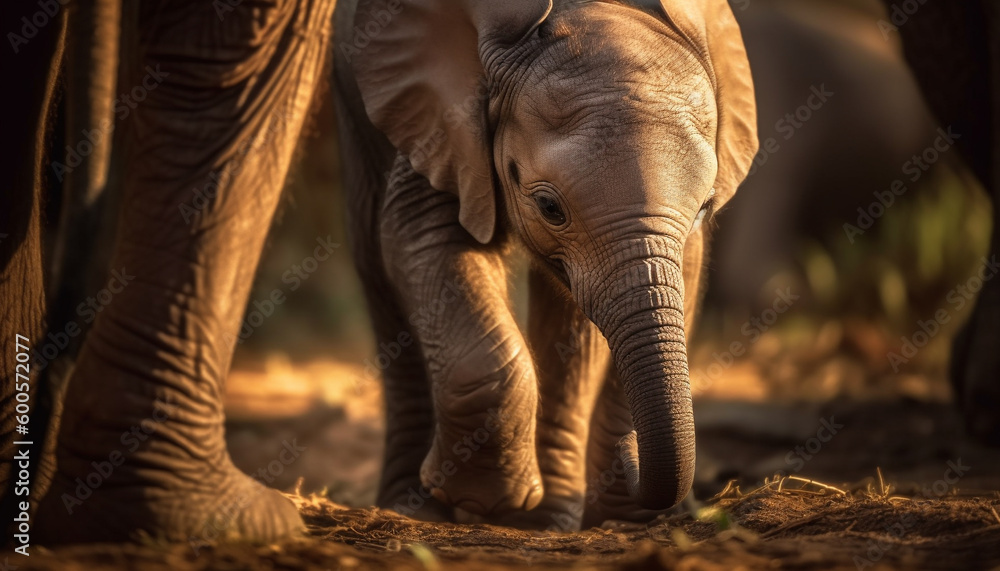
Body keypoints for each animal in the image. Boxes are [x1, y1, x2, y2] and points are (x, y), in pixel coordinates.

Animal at [334, 0, 756, 532]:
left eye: (704, 207)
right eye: (549, 207)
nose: (634, 456)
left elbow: (591, 318)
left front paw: (593, 519)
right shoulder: (445, 116)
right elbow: (419, 235)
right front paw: (485, 501)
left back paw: (548, 520)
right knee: (373, 260)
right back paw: (412, 506)